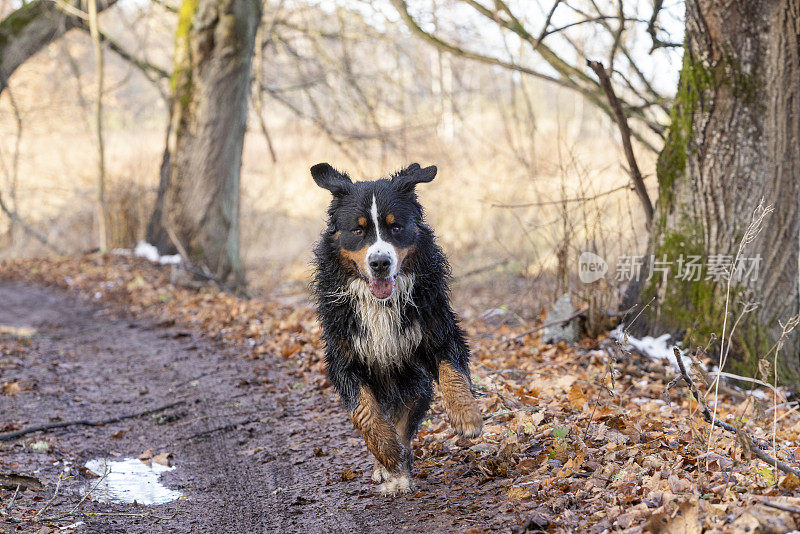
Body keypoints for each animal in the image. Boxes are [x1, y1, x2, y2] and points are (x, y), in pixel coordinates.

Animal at [310, 162, 478, 498]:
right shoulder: (344, 357)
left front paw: (466, 416)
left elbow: (452, 372)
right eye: (358, 230)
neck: (380, 303)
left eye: (396, 227)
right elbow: (365, 412)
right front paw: (387, 453)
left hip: (413, 382)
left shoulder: (437, 331)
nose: (380, 263)